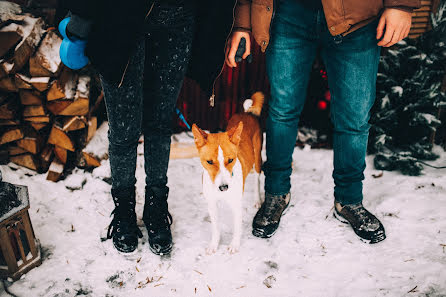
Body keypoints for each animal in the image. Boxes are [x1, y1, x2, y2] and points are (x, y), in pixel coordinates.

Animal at [192, 91, 264, 253]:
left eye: (230, 160)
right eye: (209, 162)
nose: (224, 187)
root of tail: (246, 113)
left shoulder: (236, 205)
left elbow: (237, 228)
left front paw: (234, 245)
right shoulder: (212, 204)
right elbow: (216, 228)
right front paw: (214, 245)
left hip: (258, 158)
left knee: (257, 178)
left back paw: (257, 200)